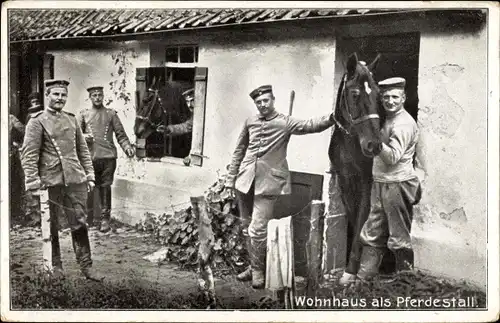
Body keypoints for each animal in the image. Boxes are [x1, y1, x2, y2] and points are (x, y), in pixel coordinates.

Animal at [328, 52, 394, 284]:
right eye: (355, 94)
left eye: (378, 95)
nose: (374, 145)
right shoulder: (345, 181)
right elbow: (352, 217)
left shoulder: (367, 183)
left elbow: (361, 221)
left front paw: (351, 270)